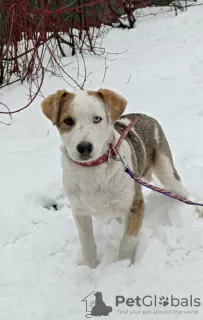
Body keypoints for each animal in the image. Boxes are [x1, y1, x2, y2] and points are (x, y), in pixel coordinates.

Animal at [41, 87, 203, 268]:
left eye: (97, 118)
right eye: (68, 121)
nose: (84, 147)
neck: (94, 170)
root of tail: (145, 116)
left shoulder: (136, 206)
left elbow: (127, 242)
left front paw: (122, 265)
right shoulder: (80, 211)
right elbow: (87, 243)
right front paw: (90, 268)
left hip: (167, 171)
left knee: (184, 193)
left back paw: (196, 209)